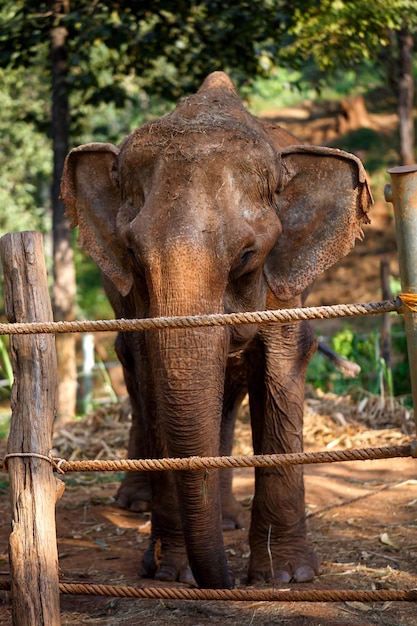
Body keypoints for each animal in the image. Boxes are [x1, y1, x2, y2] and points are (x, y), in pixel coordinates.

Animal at [61, 70, 370, 588]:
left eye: (247, 255)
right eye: (133, 253)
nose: (226, 582)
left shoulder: (282, 281)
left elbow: (285, 361)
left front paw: (286, 577)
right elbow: (153, 369)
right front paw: (174, 573)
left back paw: (225, 522)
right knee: (134, 369)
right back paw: (137, 504)